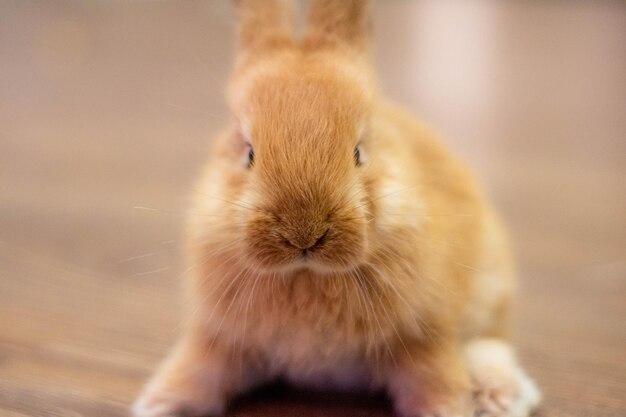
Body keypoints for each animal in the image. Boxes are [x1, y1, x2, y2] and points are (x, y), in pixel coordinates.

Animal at [133, 0, 540, 416]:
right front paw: (157, 404)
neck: (307, 276)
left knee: (489, 344)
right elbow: (199, 371)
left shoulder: (425, 336)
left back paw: (501, 394)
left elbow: (436, 380)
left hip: (490, 285)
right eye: (248, 154)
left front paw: (450, 409)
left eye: (358, 153)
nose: (303, 235)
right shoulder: (222, 338)